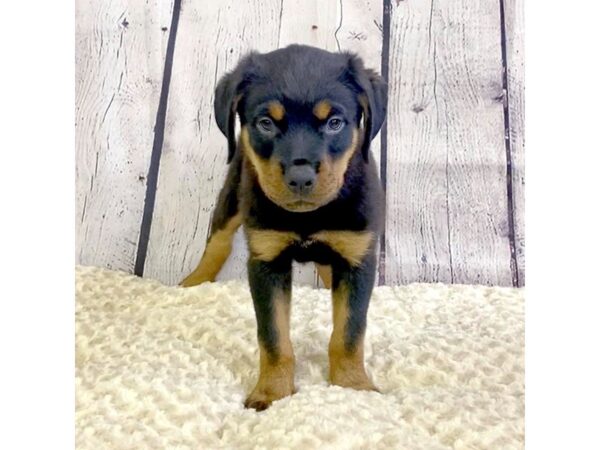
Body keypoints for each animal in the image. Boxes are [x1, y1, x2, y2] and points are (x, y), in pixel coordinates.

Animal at [183, 44, 386, 412]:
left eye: (335, 122)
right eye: (266, 123)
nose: (300, 177)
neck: (307, 217)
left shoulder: (357, 257)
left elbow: (349, 332)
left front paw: (353, 387)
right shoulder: (267, 262)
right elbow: (274, 337)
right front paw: (271, 393)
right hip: (233, 190)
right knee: (217, 240)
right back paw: (193, 281)